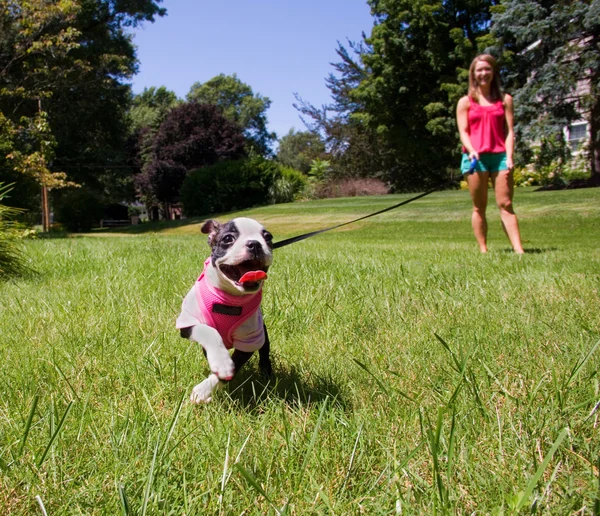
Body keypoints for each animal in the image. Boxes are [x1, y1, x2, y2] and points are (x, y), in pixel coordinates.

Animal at [176, 217, 274, 404]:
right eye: (228, 239)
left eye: (268, 238)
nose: (255, 244)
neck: (228, 298)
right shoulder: (188, 322)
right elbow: (209, 331)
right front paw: (221, 361)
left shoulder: (250, 339)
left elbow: (234, 365)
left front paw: (204, 390)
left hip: (262, 333)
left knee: (265, 352)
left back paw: (267, 374)